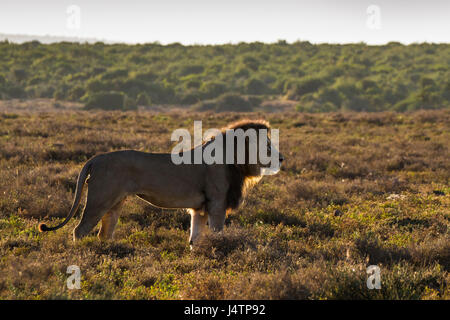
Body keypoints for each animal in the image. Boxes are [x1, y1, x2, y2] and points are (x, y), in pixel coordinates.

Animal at [38, 119, 284, 246]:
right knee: (79, 230)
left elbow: (195, 238)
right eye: (267, 145)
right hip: (99, 200)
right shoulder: (217, 204)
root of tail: (95, 158)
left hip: (115, 203)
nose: (281, 158)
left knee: (103, 233)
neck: (236, 160)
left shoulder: (200, 208)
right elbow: (217, 235)